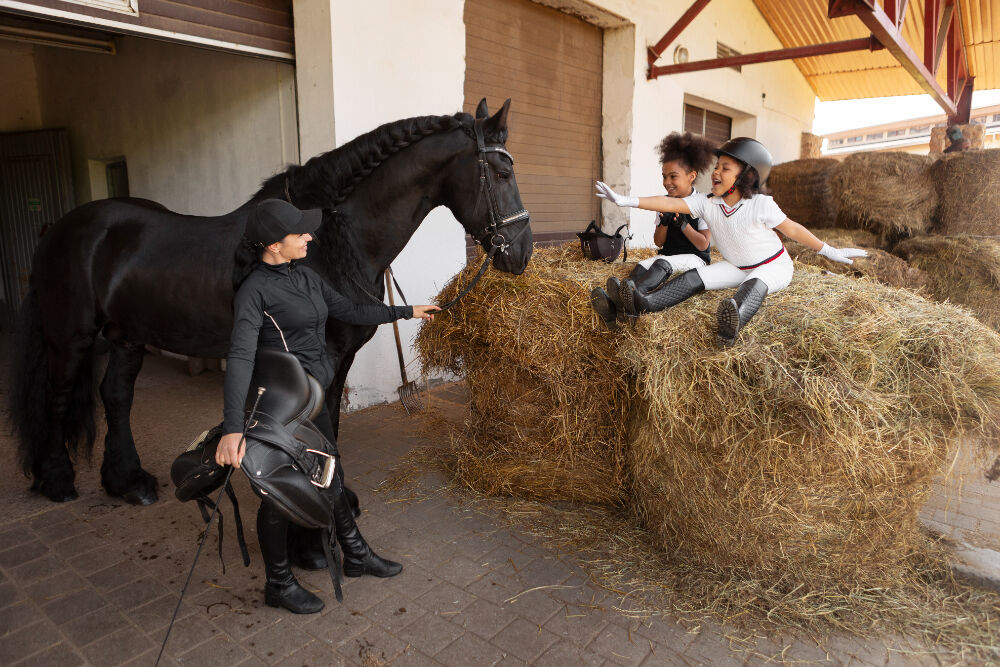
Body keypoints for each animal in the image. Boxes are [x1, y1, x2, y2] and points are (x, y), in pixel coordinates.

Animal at [11, 98, 536, 506]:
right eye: (502, 171)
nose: (522, 252)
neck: (327, 243)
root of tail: (58, 230)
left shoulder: (341, 357)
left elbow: (331, 421)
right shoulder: (321, 355)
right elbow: (323, 424)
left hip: (127, 336)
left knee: (116, 397)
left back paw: (127, 482)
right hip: (71, 338)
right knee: (58, 398)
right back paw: (57, 479)